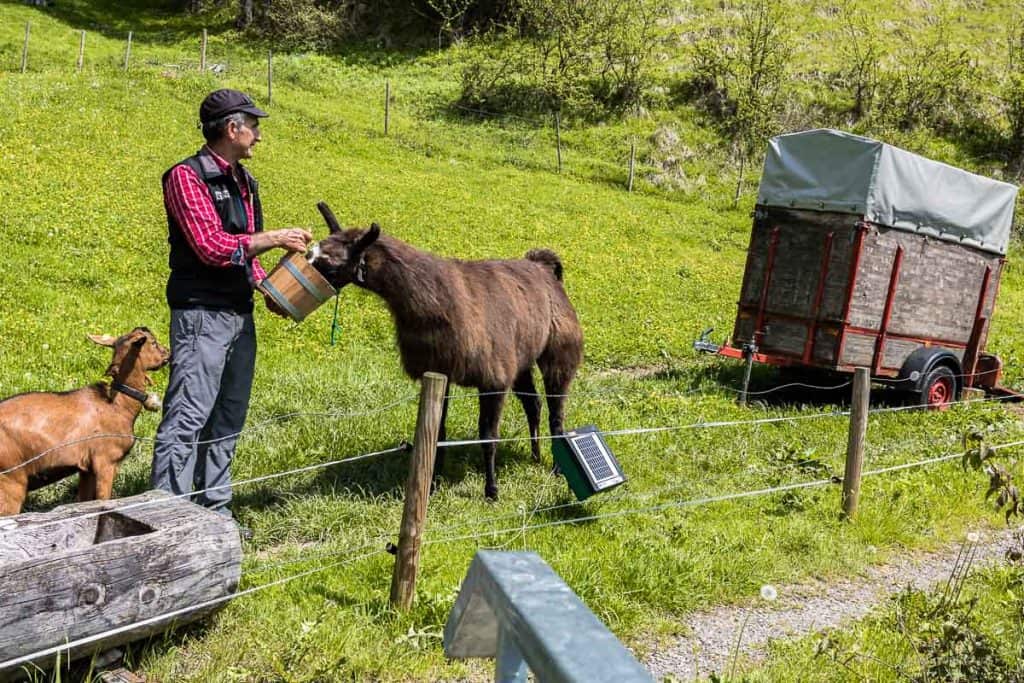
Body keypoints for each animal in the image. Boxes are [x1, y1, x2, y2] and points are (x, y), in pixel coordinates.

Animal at [0, 327, 169, 516]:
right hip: (11, 480)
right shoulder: (106, 462)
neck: (116, 405)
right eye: (153, 342)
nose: (168, 353)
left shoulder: (86, 469)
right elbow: (103, 499)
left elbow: (85, 502)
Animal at [309, 200, 585, 499]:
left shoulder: (492, 378)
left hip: (558, 350)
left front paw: (491, 490)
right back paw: (535, 455)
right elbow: (436, 435)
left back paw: (556, 468)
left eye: (330, 265)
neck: (439, 303)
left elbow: (488, 435)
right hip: (521, 355)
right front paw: (431, 485)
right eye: (311, 253)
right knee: (533, 404)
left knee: (556, 413)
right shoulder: (441, 372)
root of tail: (542, 267)